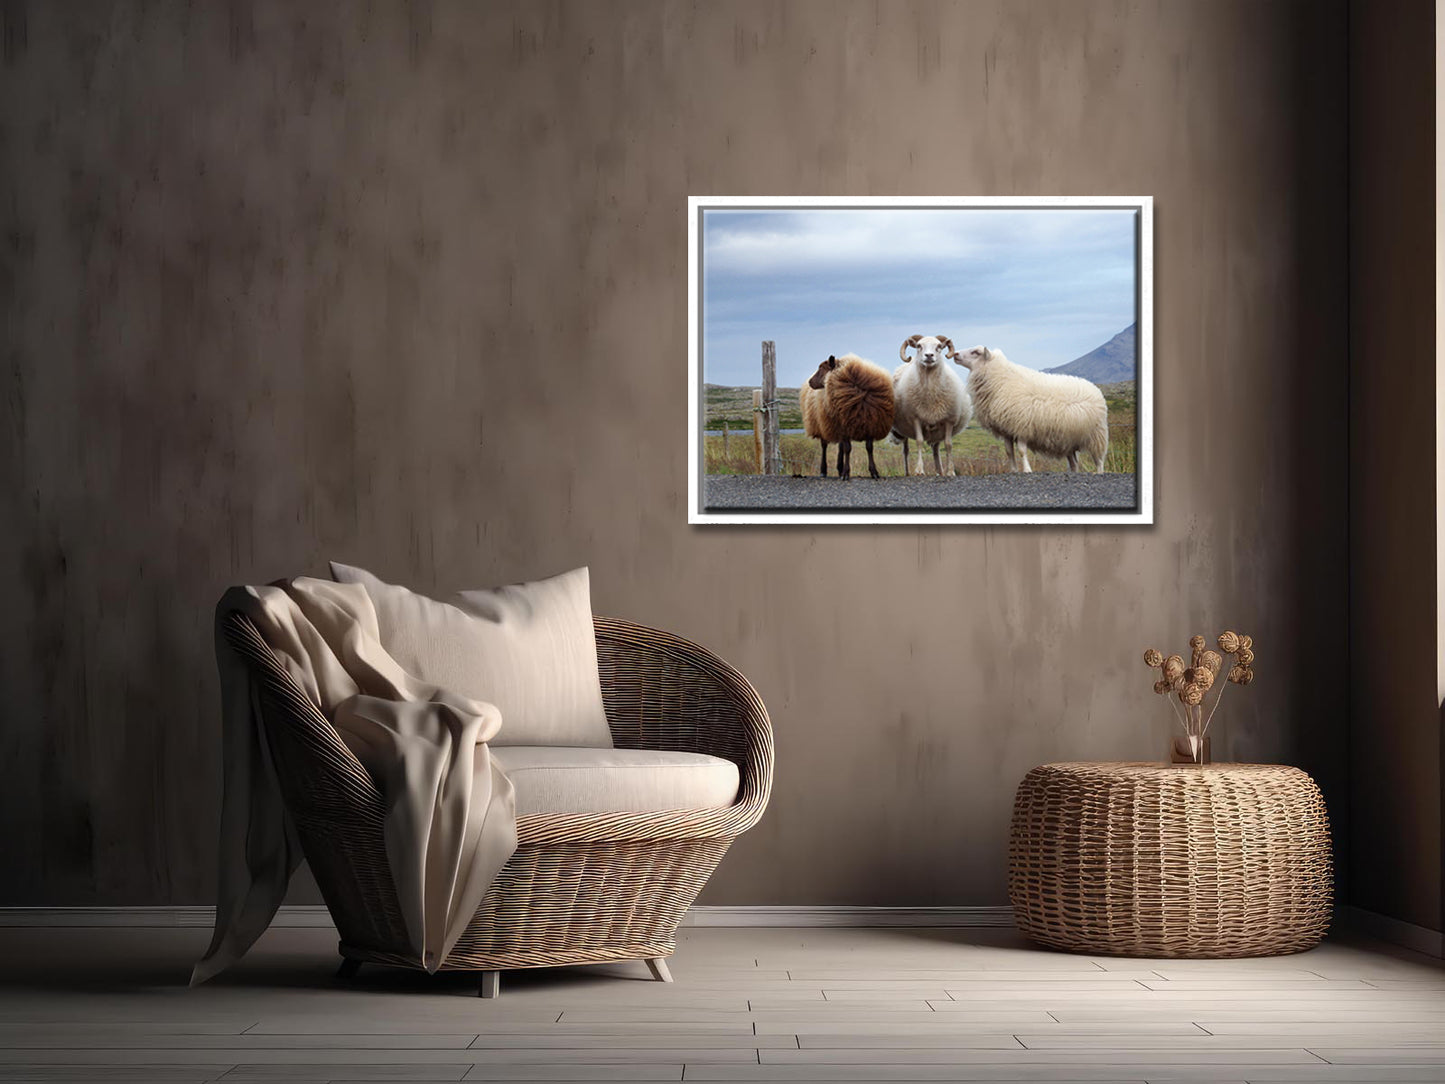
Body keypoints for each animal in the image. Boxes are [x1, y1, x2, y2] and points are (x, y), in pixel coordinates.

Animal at [803, 354, 890, 482]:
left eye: (822, 368)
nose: (810, 382)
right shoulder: (843, 427)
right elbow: (848, 449)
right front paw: (846, 473)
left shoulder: (869, 424)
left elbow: (869, 448)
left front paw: (874, 472)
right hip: (822, 425)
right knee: (824, 446)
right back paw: (823, 471)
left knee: (840, 447)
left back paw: (839, 468)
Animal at [884, 335, 976, 474]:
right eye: (918, 346)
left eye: (939, 347)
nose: (929, 355)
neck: (930, 393)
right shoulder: (915, 418)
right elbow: (919, 441)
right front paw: (919, 470)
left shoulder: (949, 420)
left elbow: (948, 445)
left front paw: (950, 471)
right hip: (904, 429)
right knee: (906, 451)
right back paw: (907, 472)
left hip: (937, 430)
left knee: (936, 450)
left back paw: (940, 471)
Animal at [953, 343, 1109, 471]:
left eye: (976, 352)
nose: (955, 354)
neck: (1001, 380)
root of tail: (1095, 389)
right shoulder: (1007, 429)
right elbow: (1009, 451)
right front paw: (1014, 470)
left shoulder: (1021, 426)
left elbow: (1022, 450)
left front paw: (1027, 470)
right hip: (1069, 439)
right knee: (1074, 463)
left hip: (1097, 435)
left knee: (1099, 460)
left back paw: (1099, 472)